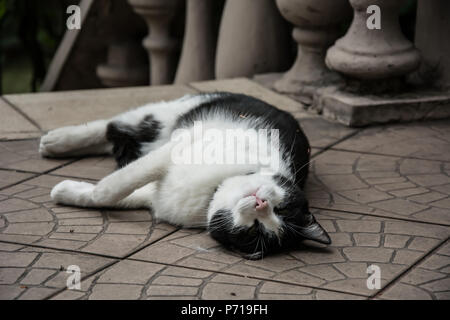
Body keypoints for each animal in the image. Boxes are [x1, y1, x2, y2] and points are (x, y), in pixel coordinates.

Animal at [41, 92, 330, 260]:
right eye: (282, 209)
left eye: (255, 231)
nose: (262, 204)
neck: (213, 191)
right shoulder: (176, 148)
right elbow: (113, 187)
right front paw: (64, 190)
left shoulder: (157, 196)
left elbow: (117, 195)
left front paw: (67, 192)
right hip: (167, 117)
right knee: (114, 126)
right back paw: (56, 141)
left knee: (119, 139)